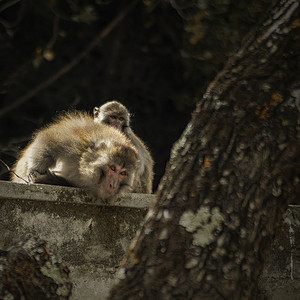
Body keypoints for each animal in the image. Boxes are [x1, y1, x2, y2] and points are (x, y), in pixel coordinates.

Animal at [10, 111, 138, 200]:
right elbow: (48, 141)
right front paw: (34, 171)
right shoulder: (76, 142)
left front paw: (48, 178)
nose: (112, 185)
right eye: (112, 168)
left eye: (123, 173)